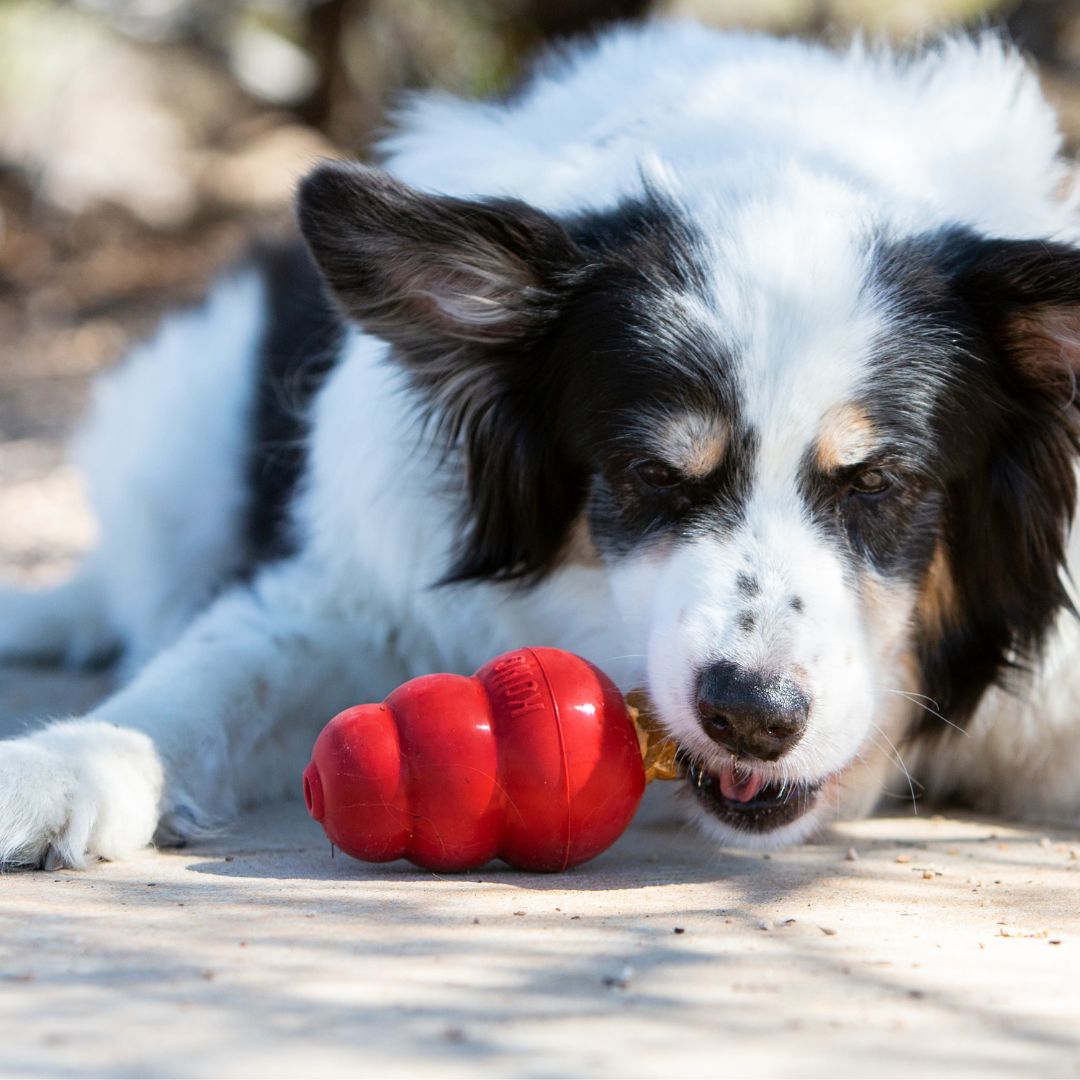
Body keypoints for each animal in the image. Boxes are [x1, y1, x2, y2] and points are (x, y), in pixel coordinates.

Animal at [2, 19, 1080, 868]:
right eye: (649, 474)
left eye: (881, 482)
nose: (752, 717)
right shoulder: (364, 596)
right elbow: (210, 677)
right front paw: (67, 763)